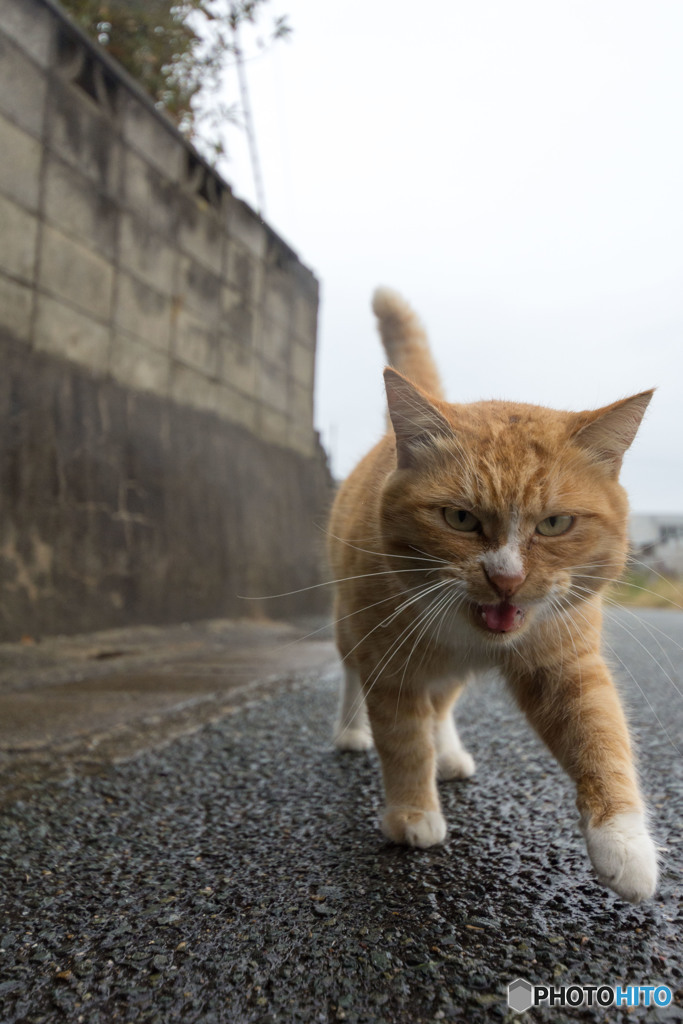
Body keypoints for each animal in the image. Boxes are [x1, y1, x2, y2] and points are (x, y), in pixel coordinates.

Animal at [327, 288, 659, 905]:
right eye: (459, 518)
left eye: (554, 524)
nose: (506, 578)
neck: (471, 633)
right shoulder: (390, 661)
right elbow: (403, 740)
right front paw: (412, 815)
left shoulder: (565, 660)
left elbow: (601, 735)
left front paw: (626, 846)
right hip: (348, 627)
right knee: (353, 678)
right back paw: (352, 731)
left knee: (441, 706)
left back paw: (450, 753)